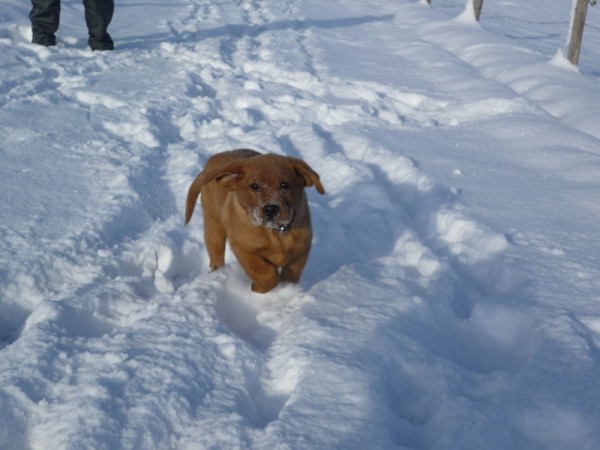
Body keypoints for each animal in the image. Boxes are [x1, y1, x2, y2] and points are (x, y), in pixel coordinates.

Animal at [185, 149, 325, 293]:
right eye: (254, 186)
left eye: (284, 185)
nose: (270, 209)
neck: (274, 232)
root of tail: (210, 165)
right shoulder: (243, 248)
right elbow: (265, 274)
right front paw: (257, 288)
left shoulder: (301, 249)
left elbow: (291, 274)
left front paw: (288, 288)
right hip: (214, 227)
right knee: (216, 256)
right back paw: (217, 273)